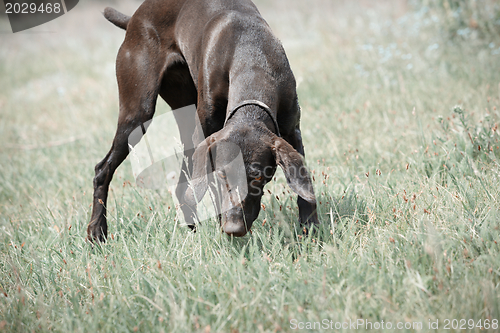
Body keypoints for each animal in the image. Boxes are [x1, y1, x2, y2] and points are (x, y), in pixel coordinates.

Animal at [87, 0, 318, 240]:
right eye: (223, 175)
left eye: (257, 178)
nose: (234, 228)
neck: (250, 56)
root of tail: (134, 19)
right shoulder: (207, 136)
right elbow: (212, 187)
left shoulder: (292, 131)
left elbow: (303, 181)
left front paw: (310, 227)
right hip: (138, 114)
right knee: (103, 169)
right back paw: (97, 231)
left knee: (182, 184)